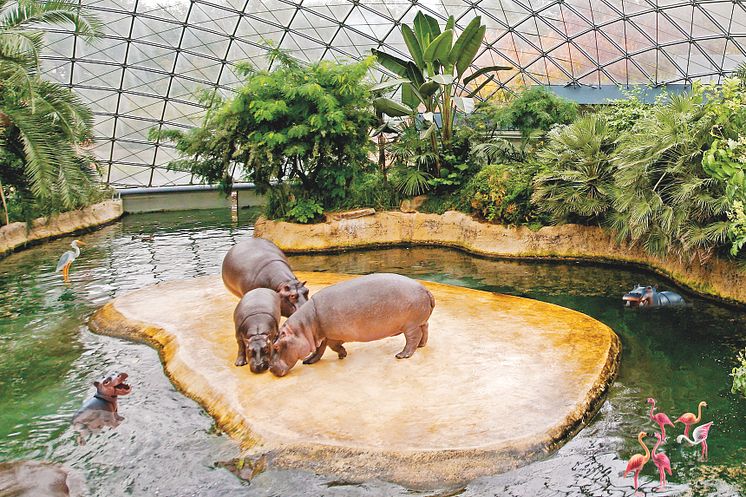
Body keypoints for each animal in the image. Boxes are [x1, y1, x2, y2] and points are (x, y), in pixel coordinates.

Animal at [268, 272, 434, 376]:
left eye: (276, 346)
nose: (270, 369)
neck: (305, 326)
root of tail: (426, 289)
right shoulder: (322, 336)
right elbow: (319, 351)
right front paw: (308, 361)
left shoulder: (332, 336)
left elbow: (332, 347)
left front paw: (343, 355)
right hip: (419, 321)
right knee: (425, 329)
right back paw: (421, 345)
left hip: (410, 325)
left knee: (412, 338)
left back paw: (402, 355)